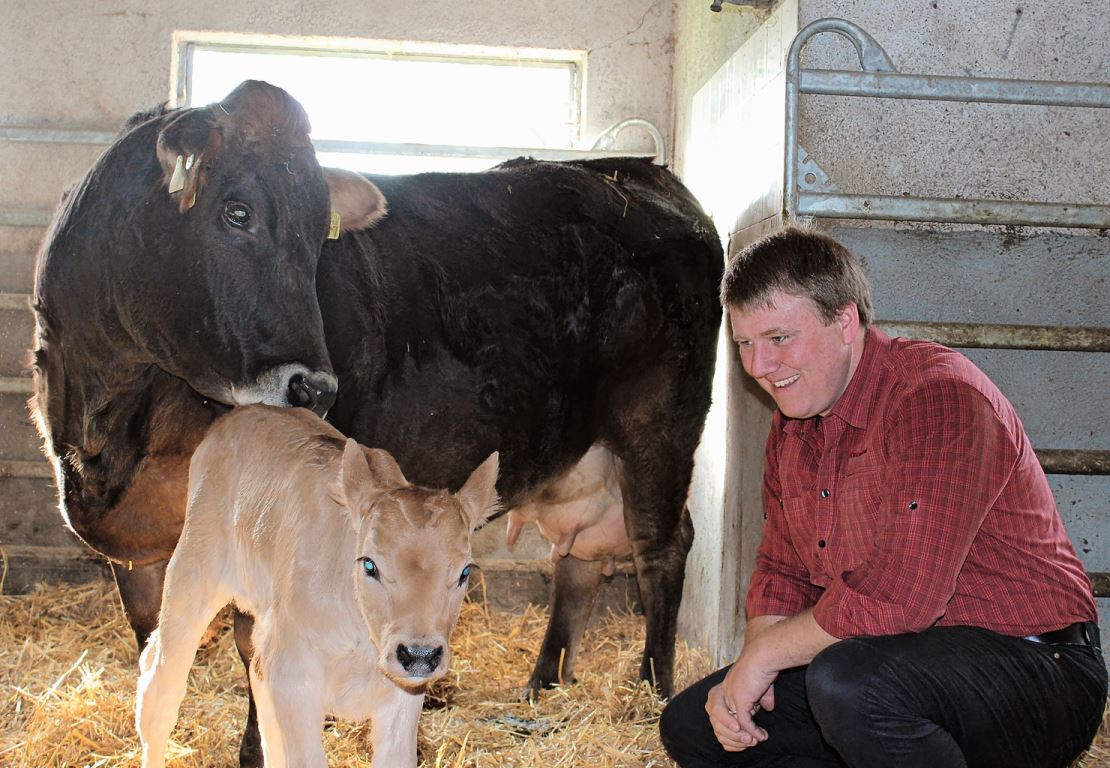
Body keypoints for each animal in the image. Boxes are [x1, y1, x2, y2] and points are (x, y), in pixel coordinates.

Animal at [135, 403, 499, 763]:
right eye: (370, 565)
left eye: (464, 572)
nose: (420, 654)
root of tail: (245, 412)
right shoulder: (294, 678)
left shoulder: (403, 694)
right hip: (193, 570)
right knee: (160, 685)